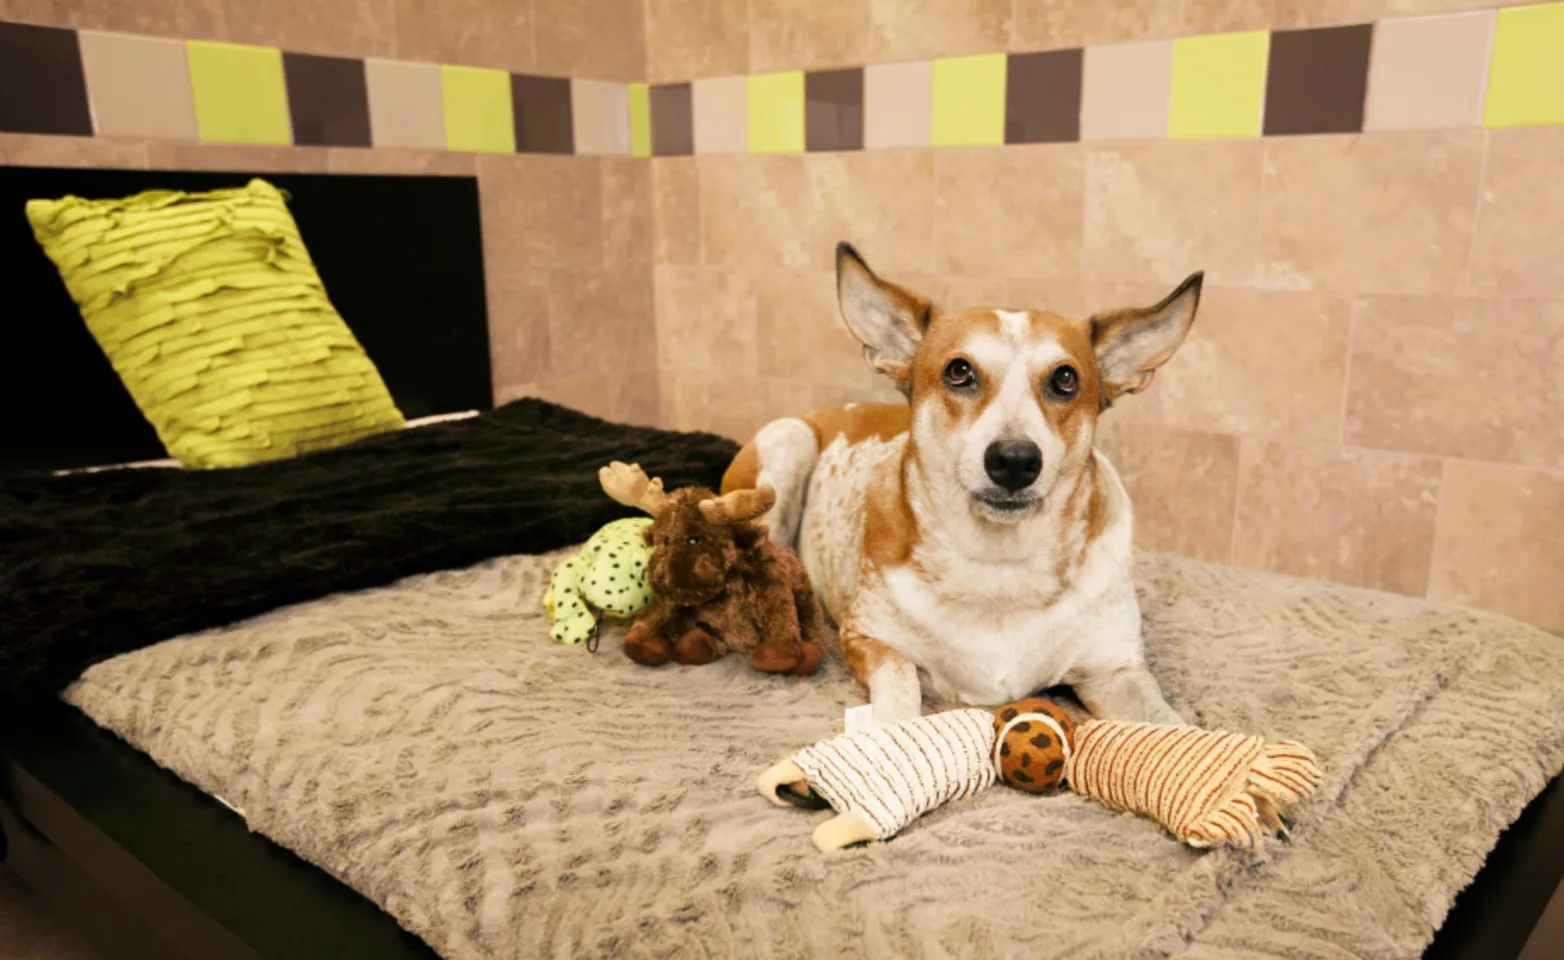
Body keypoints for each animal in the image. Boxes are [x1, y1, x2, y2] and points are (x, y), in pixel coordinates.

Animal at [716, 242, 1194, 728]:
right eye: (959, 371)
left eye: (1065, 379)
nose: (1015, 461)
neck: (999, 564)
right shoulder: (866, 638)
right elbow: (901, 681)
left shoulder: (1116, 669)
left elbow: (1174, 727)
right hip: (787, 446)